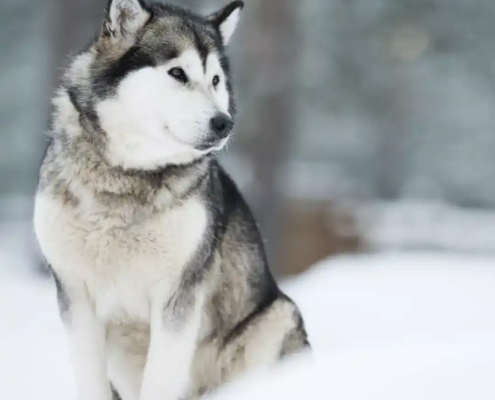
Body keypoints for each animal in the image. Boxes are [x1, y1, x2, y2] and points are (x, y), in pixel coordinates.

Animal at [34, 0, 310, 400]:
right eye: (177, 73)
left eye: (215, 80)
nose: (224, 123)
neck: (127, 177)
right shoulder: (75, 295)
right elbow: (90, 381)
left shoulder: (178, 296)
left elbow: (161, 380)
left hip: (275, 317)